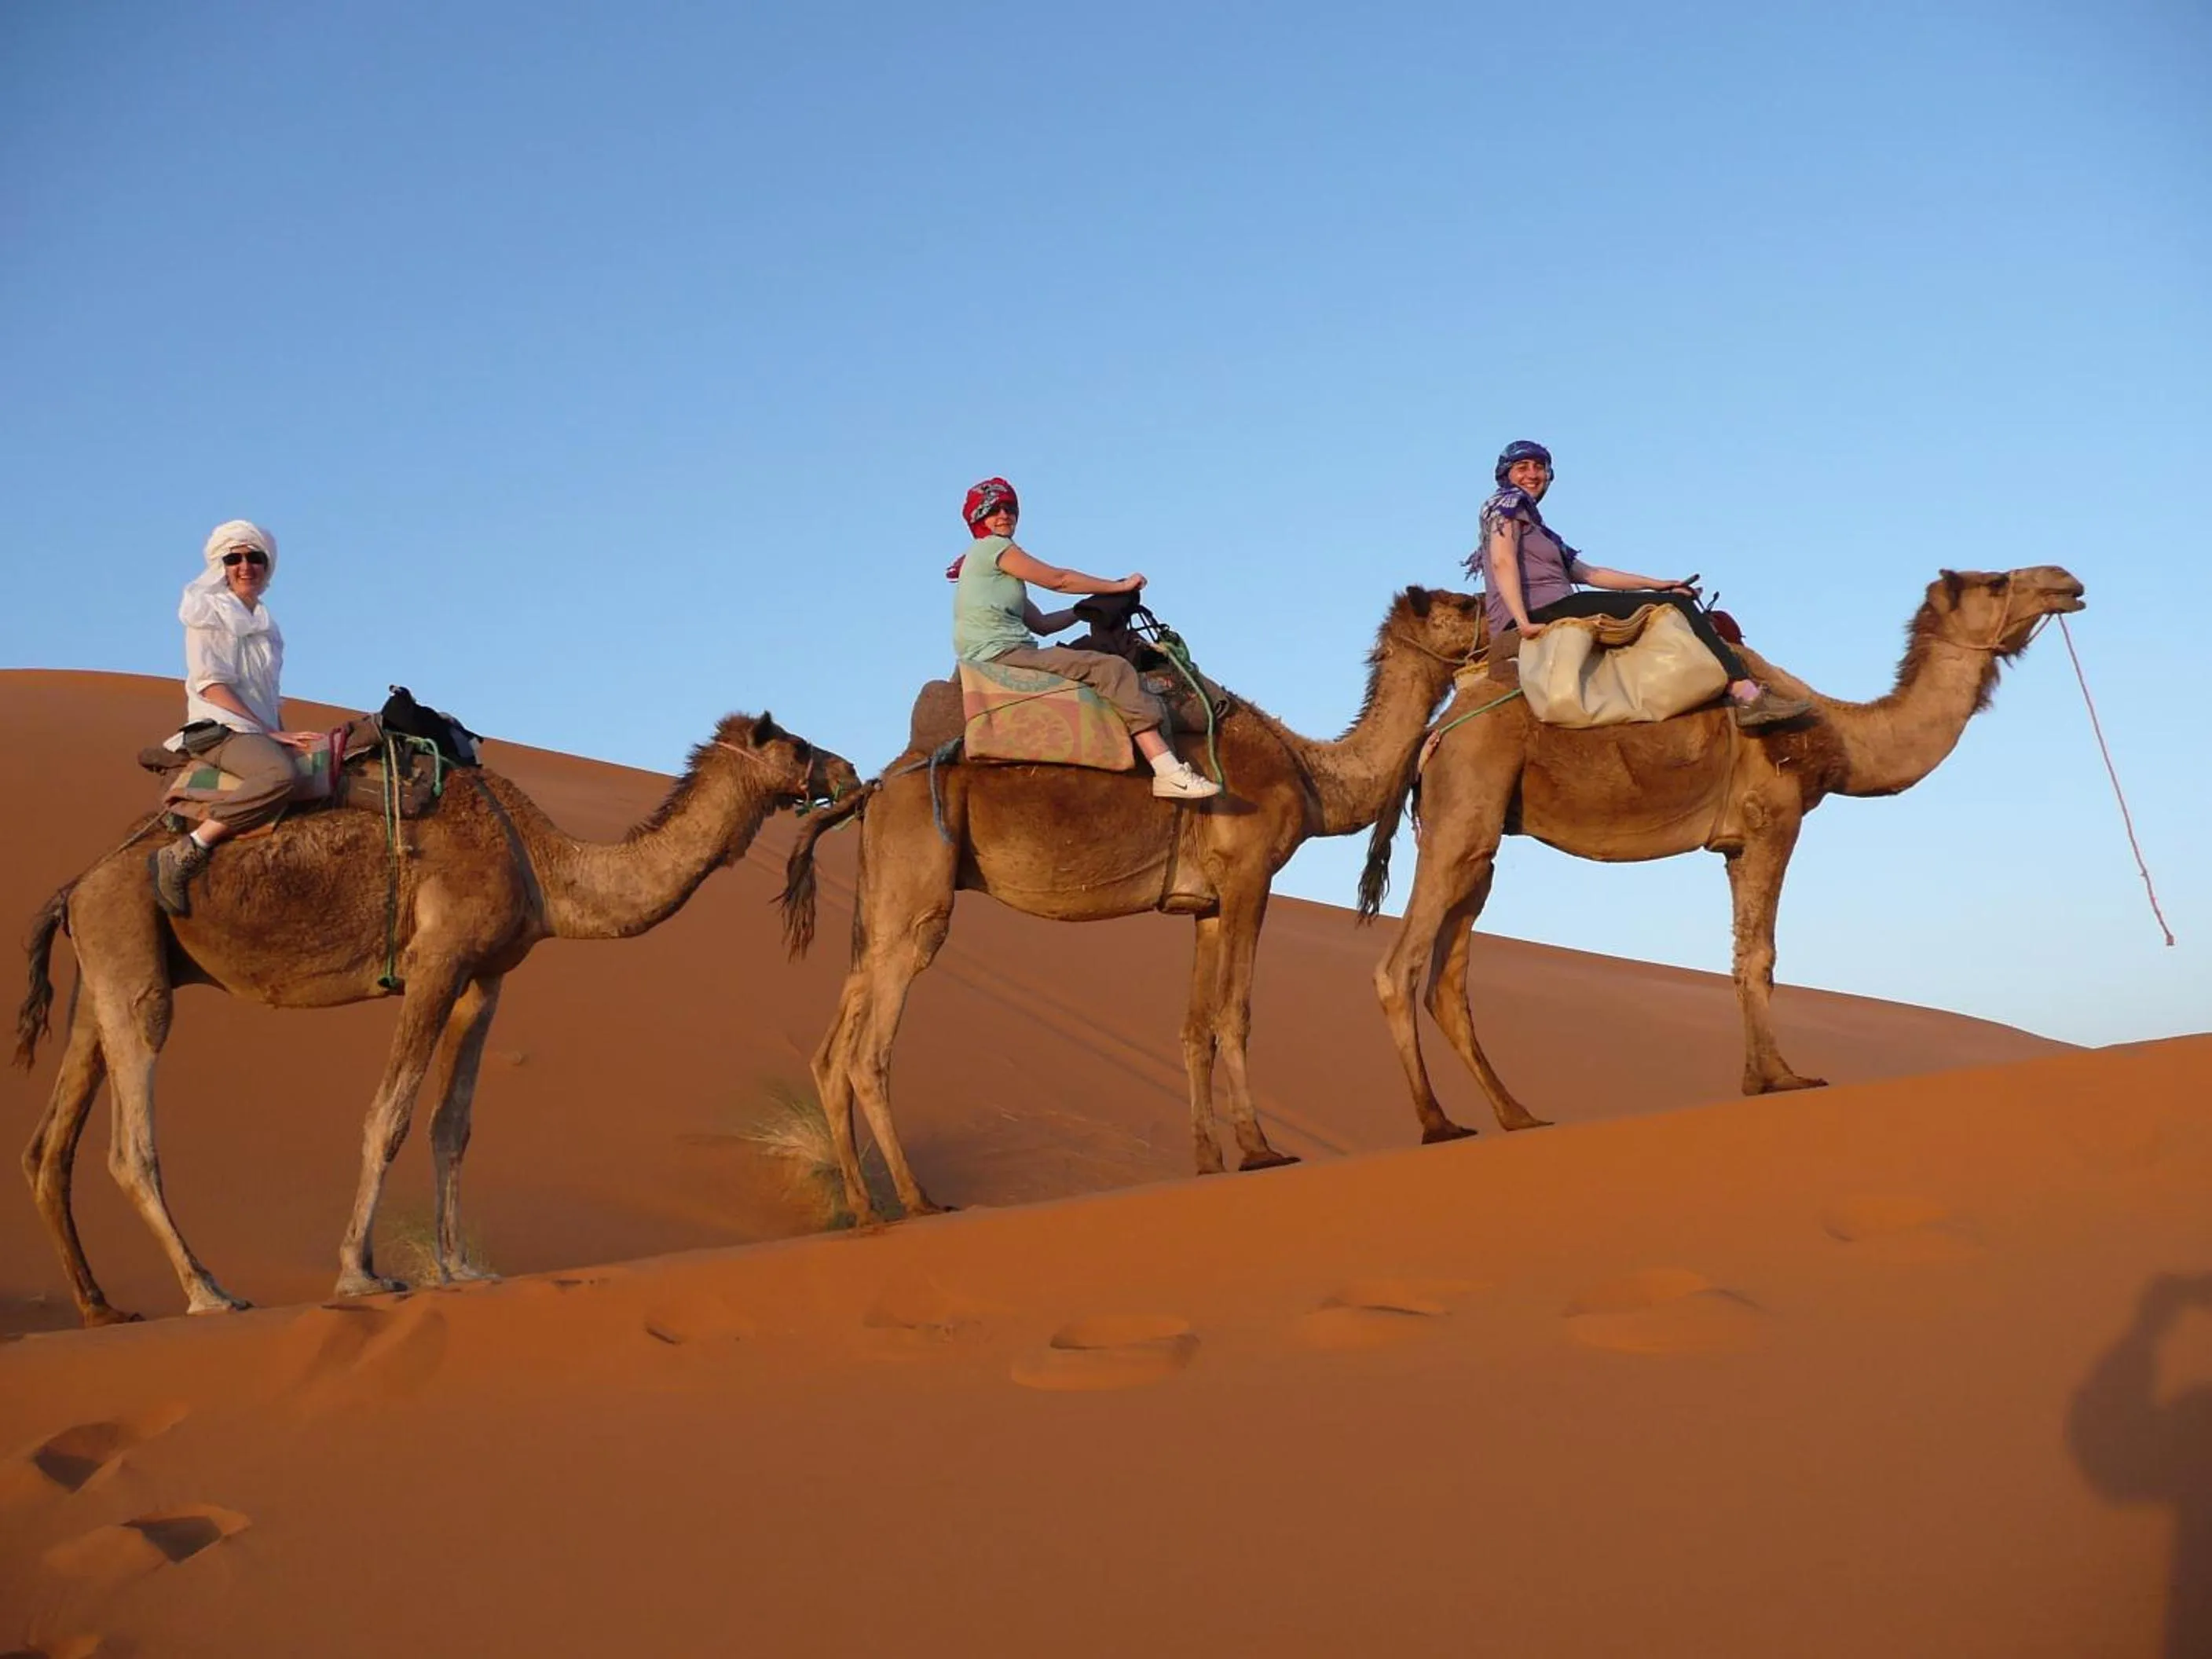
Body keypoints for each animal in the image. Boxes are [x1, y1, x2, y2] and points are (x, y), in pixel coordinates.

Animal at [14, 713, 859, 1326]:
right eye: (792, 741)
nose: (848, 771)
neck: (543, 863)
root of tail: (73, 886)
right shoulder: (434, 962)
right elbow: (387, 1116)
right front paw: (361, 1273)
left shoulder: (485, 976)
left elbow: (453, 1124)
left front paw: (464, 1267)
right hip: (131, 958)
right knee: (130, 1144)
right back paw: (209, 1292)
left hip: (102, 977)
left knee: (50, 1144)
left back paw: (101, 1306)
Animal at [778, 585, 1486, 1224]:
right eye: (1464, 604)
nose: (1501, 617)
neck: (1312, 778)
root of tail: (874, 789)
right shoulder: (1249, 876)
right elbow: (1235, 1013)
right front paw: (1260, 1149)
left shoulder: (1205, 905)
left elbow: (1194, 1028)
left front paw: (1208, 1160)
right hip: (919, 896)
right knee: (869, 1053)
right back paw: (919, 1200)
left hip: (881, 906)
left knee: (833, 1048)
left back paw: (866, 1209)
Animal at [1359, 566, 2086, 1137]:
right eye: (1996, 582)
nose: (2067, 581)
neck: (1836, 733)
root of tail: (1435, 732)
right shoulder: (1774, 819)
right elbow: (1761, 954)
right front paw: (1784, 1078)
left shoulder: (1735, 843)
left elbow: (1740, 955)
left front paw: (1758, 1076)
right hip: (1467, 799)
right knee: (1399, 966)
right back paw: (1438, 1123)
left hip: (1478, 836)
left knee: (1448, 973)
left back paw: (1519, 1115)